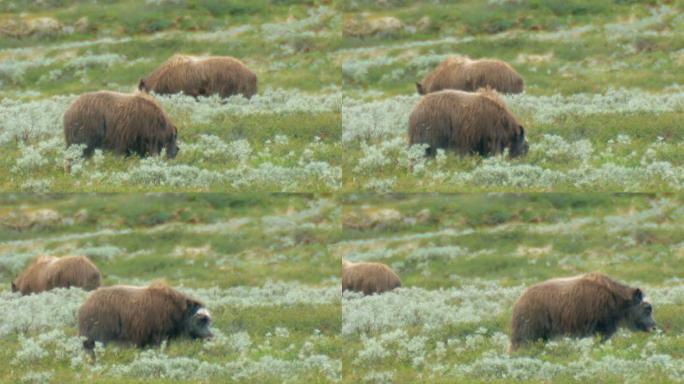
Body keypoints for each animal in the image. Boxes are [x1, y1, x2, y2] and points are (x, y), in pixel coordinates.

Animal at [77, 282, 212, 352]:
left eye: (208, 320)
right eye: (200, 320)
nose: (210, 337)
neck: (178, 311)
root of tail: (86, 304)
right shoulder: (159, 335)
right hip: (99, 336)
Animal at [510, 270, 656, 352]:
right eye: (647, 308)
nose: (654, 326)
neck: (615, 300)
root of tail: (518, 300)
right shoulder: (599, 324)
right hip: (531, 325)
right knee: (522, 341)